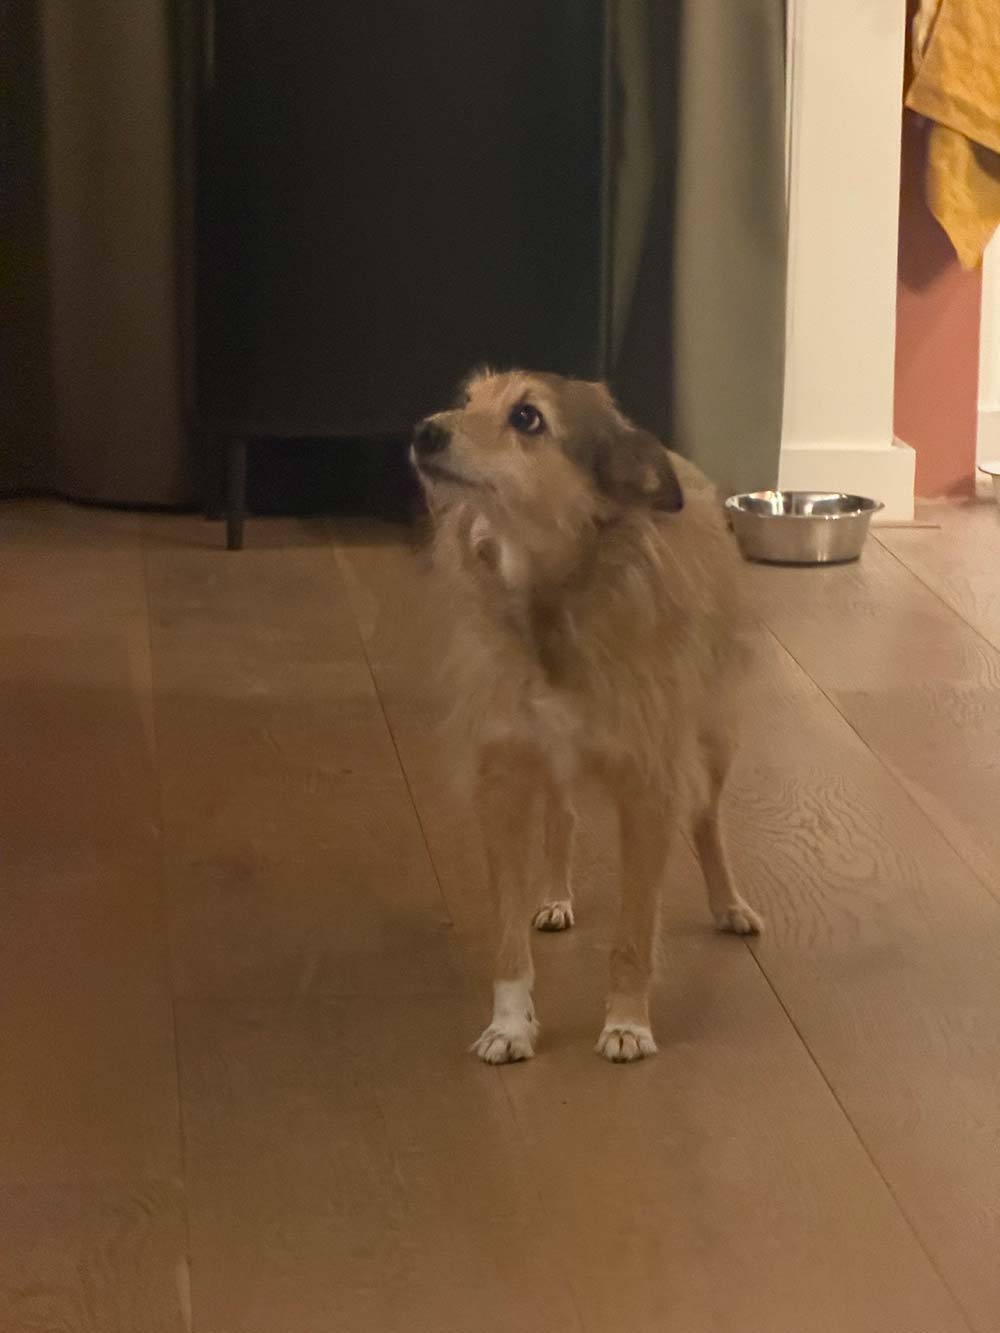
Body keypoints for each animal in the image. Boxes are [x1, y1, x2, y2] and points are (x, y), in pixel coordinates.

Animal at [411, 369, 762, 1063]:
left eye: (528, 417)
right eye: (466, 401)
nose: (425, 431)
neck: (550, 597)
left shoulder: (650, 790)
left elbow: (633, 932)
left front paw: (627, 1022)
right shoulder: (503, 781)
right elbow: (506, 939)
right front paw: (510, 1023)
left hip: (711, 741)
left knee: (707, 822)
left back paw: (728, 904)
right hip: (552, 764)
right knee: (562, 817)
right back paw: (553, 895)